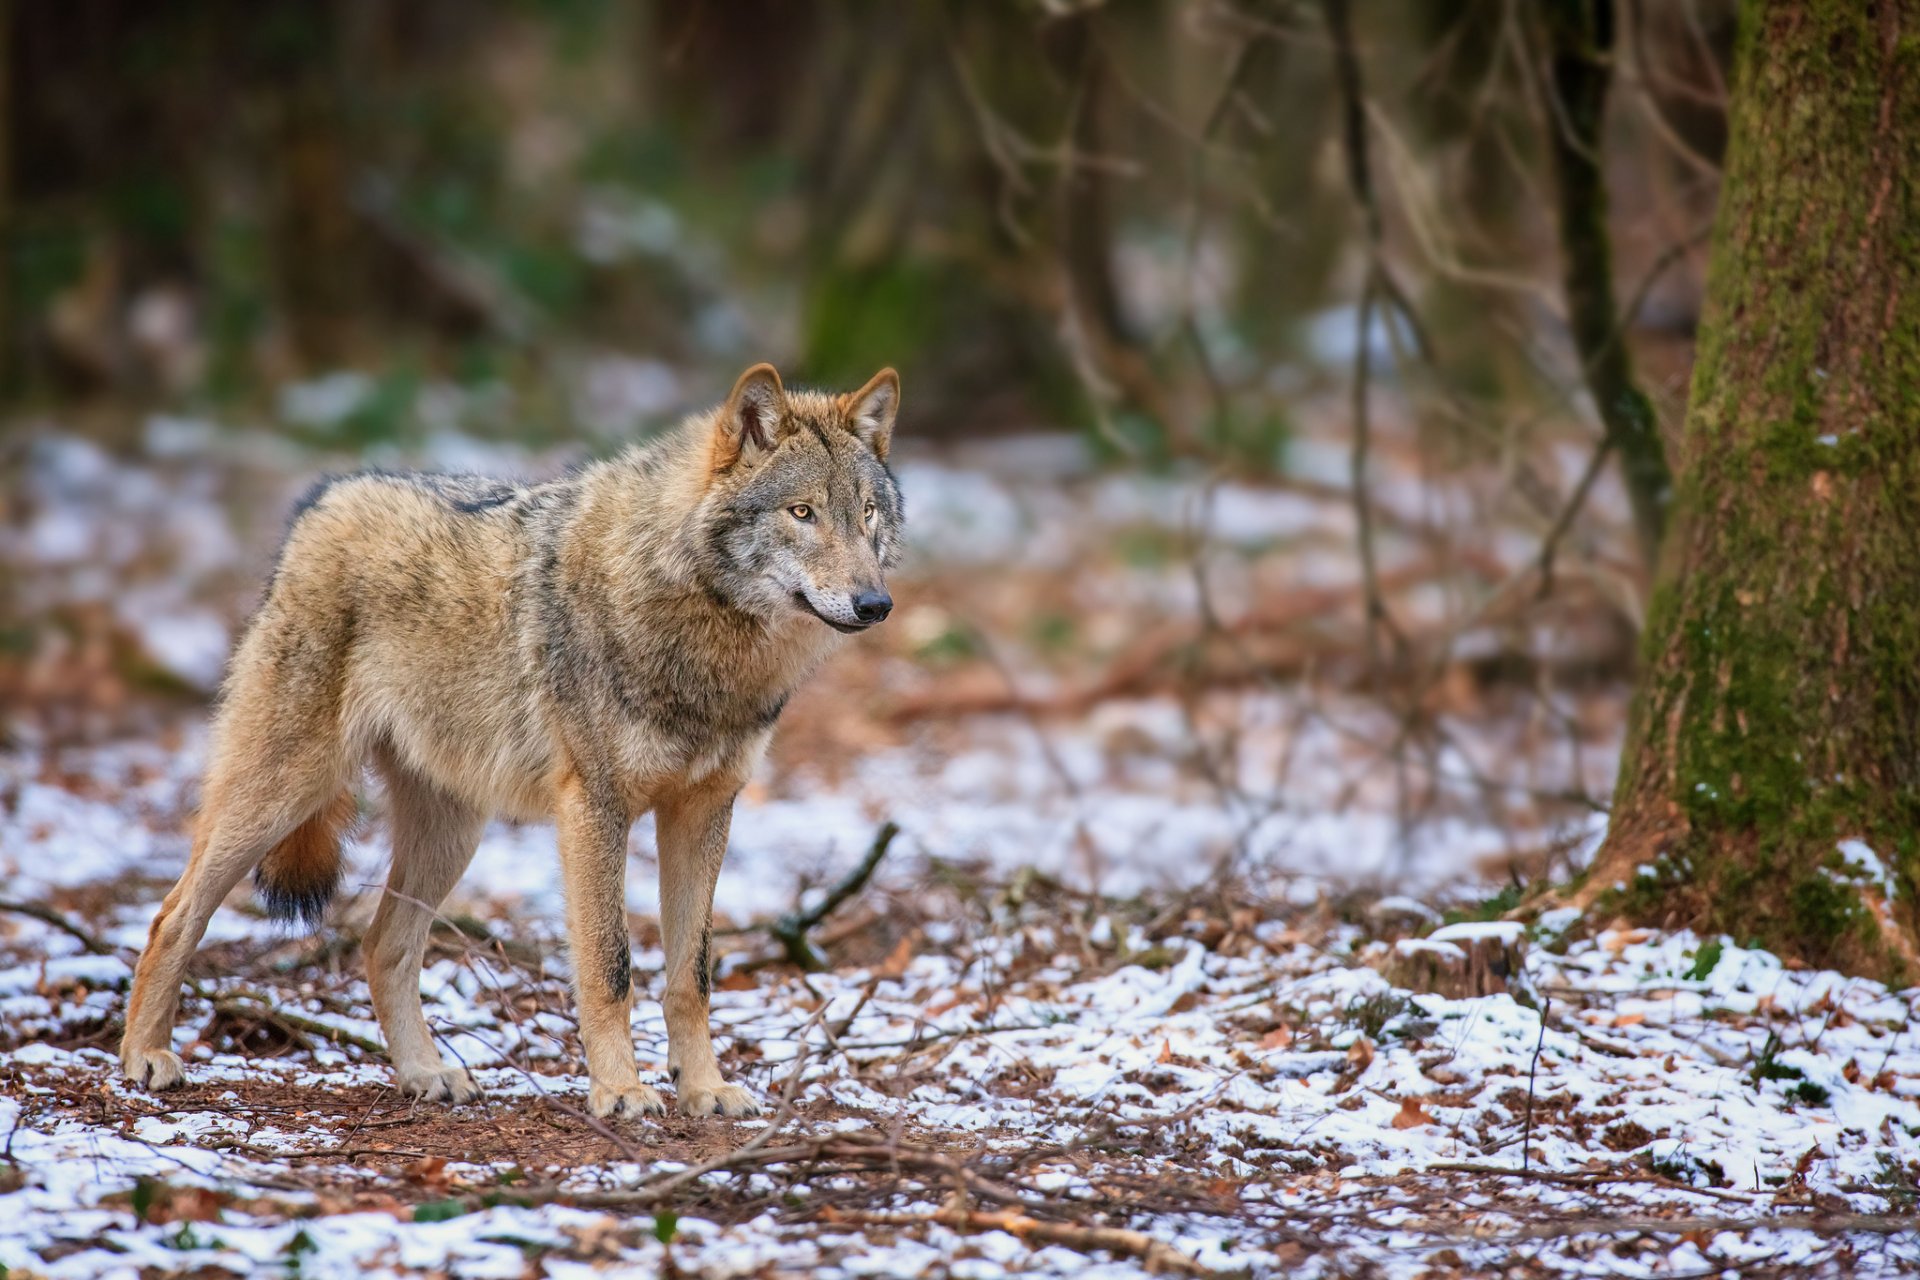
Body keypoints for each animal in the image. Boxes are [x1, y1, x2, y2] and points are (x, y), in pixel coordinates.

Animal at [118, 363, 903, 1118]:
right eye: (802, 513)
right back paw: (144, 1058)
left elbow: (693, 974)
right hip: (286, 792)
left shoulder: (705, 810)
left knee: (382, 945)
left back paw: (426, 1075)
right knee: (171, 916)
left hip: (452, 833)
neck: (704, 634)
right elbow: (610, 966)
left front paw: (704, 1089)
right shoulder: (595, 809)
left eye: (865, 513)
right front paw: (621, 1092)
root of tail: (324, 497)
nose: (875, 604)